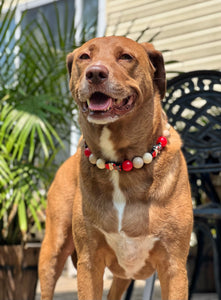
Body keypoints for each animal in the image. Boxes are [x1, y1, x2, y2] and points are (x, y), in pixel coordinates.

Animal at [38, 35, 193, 300]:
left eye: (126, 57)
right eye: (84, 57)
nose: (95, 73)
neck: (120, 166)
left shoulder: (174, 267)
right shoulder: (89, 263)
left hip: (124, 274)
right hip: (53, 248)